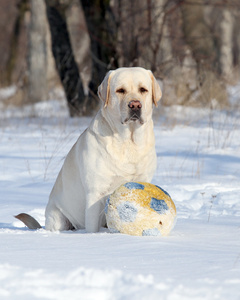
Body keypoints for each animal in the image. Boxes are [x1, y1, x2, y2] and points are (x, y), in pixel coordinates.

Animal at [15, 68, 162, 232]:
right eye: (120, 90)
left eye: (143, 89)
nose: (135, 105)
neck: (128, 141)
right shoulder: (95, 192)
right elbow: (92, 227)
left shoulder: (144, 180)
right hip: (57, 217)